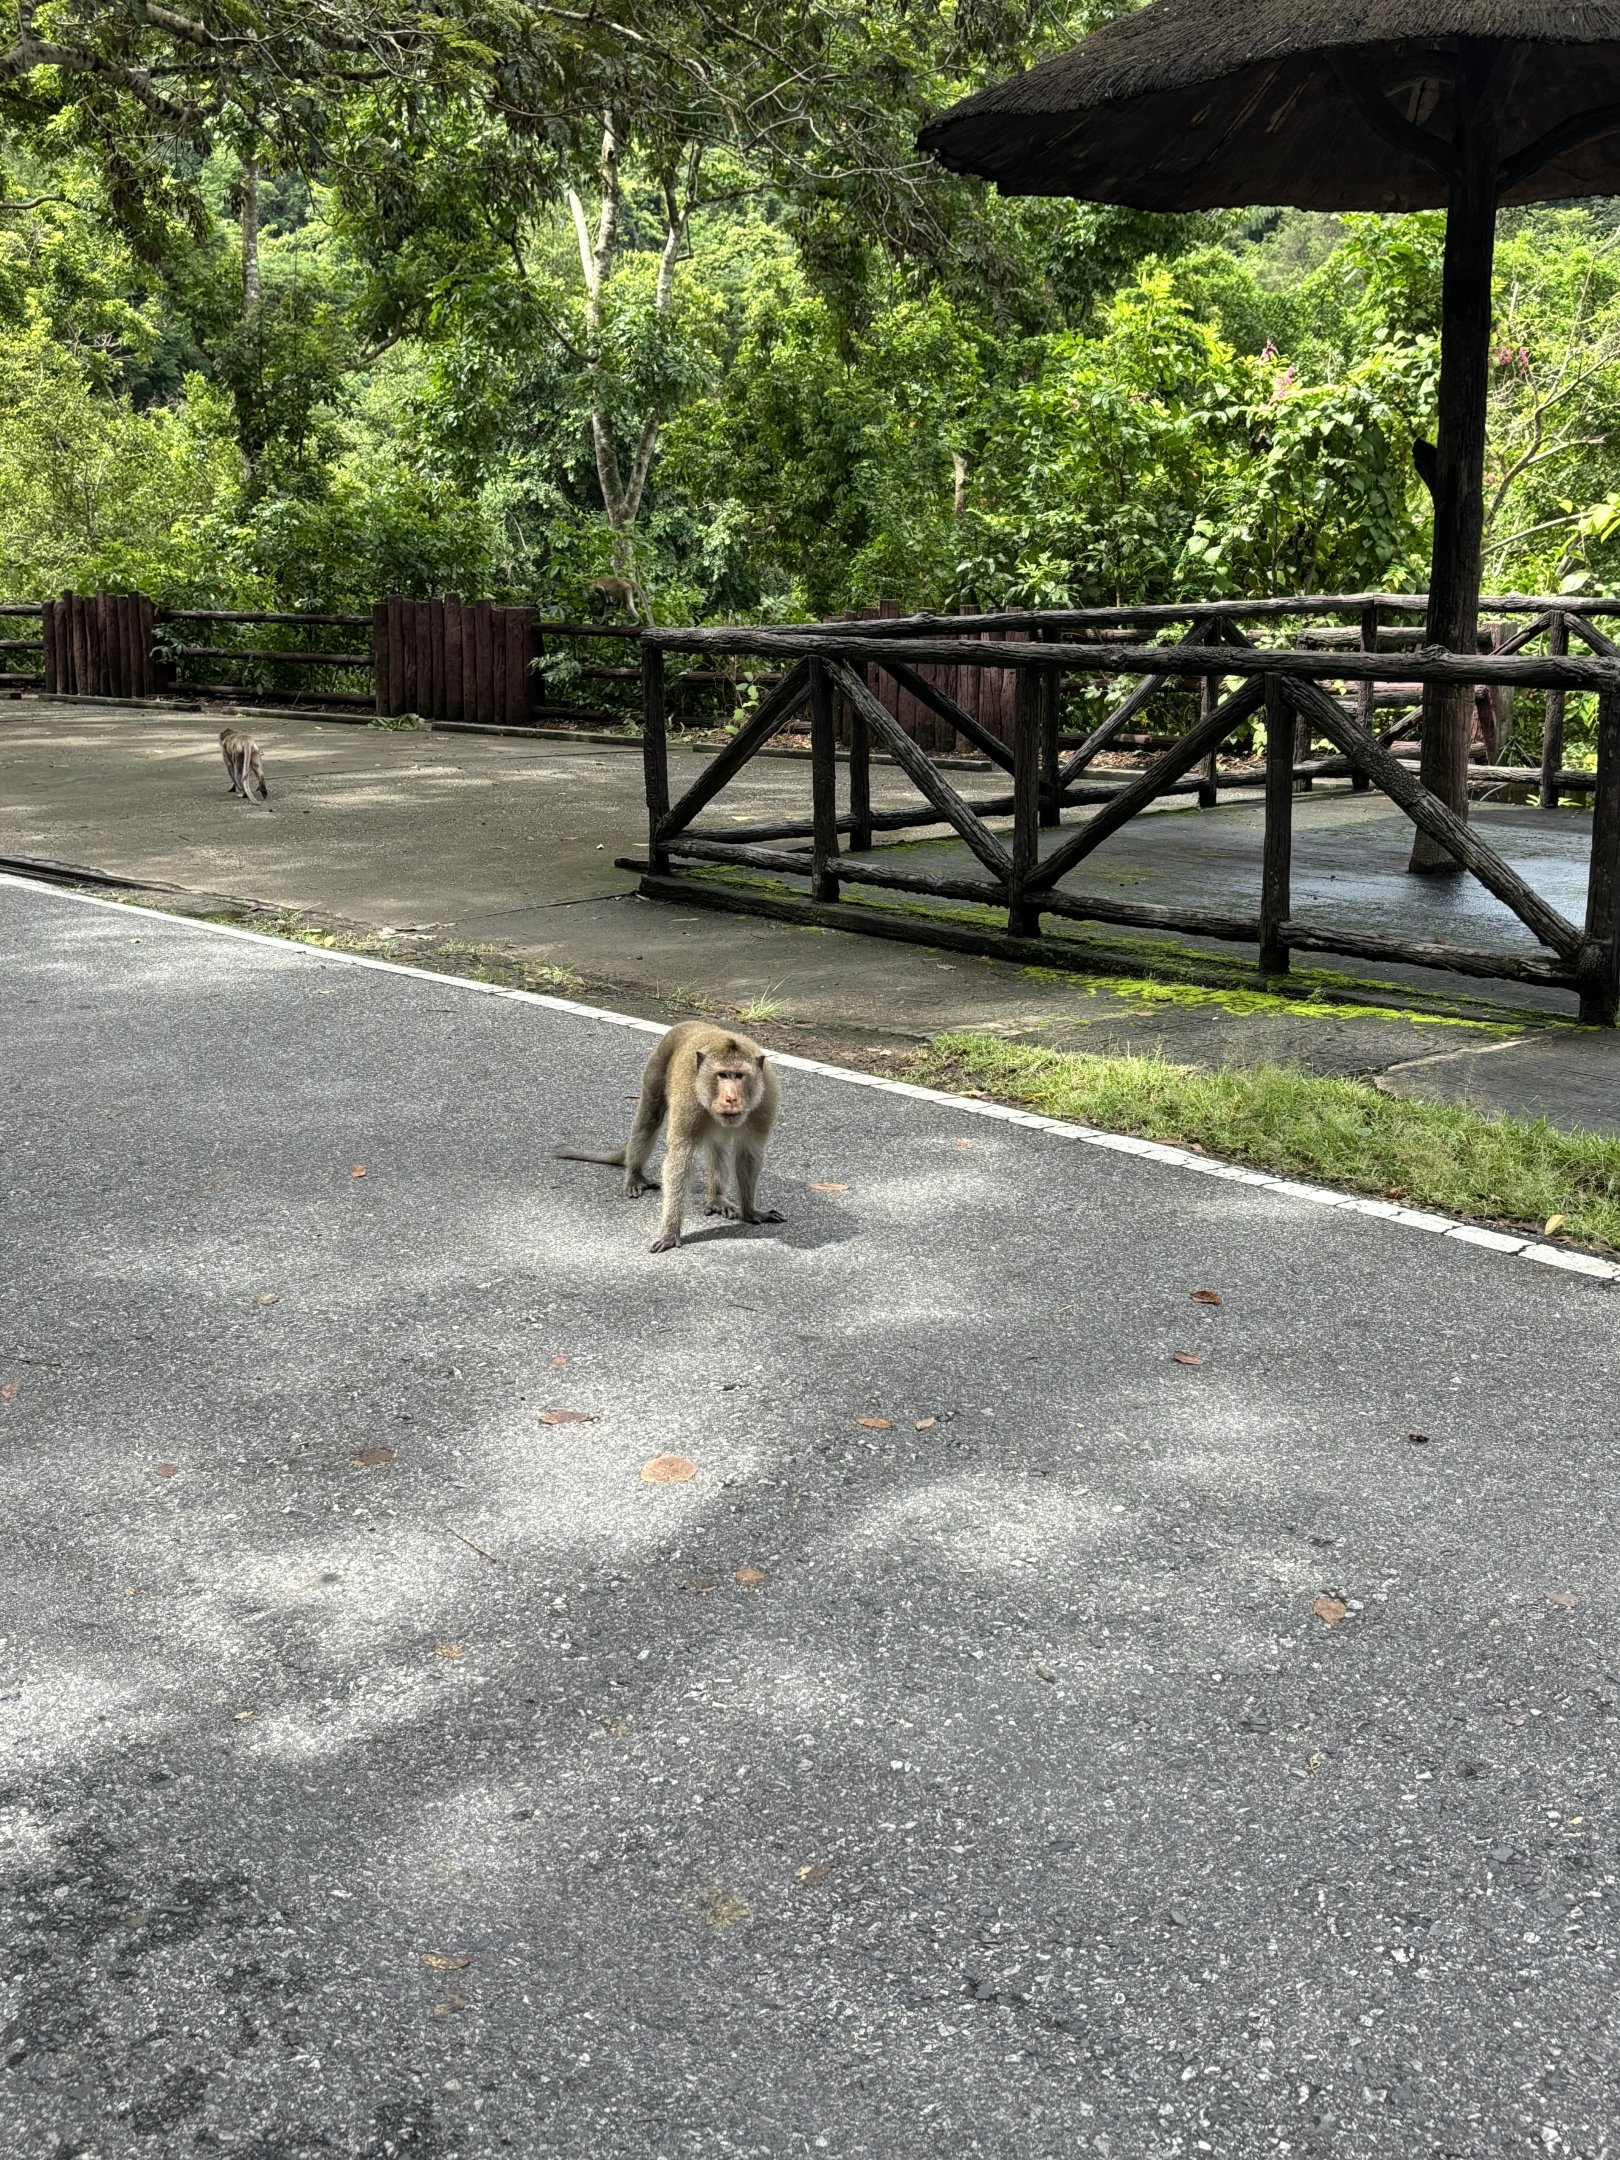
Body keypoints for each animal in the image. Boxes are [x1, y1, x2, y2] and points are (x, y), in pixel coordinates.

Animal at [553, 1020, 783, 1253]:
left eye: (739, 1075)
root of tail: (690, 1023)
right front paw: (671, 1231)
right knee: (649, 1118)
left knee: (718, 1145)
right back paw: (634, 1174)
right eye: (722, 1075)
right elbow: (681, 1158)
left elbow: (749, 1154)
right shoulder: (688, 1101)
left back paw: (717, 1199)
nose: (731, 1098)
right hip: (657, 1062)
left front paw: (750, 1210)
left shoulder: (765, 1102)